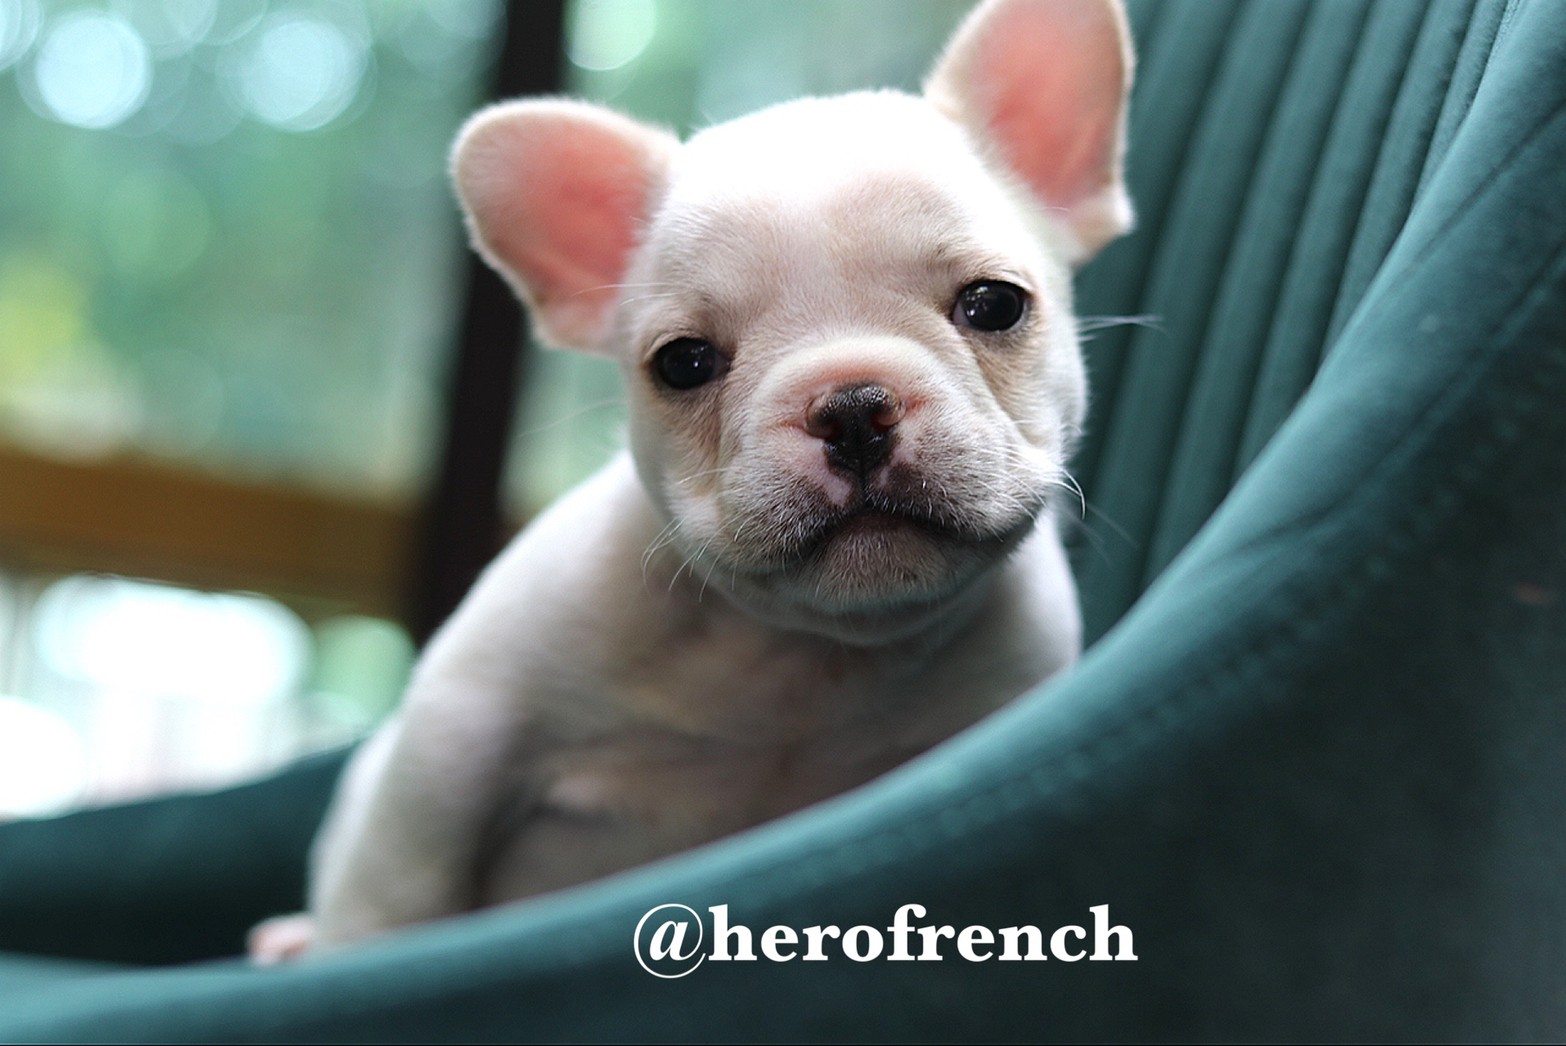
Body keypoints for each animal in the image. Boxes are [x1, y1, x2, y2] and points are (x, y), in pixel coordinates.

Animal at [249, 0, 1133, 961]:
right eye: (684, 363)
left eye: (994, 304)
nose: (853, 406)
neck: (801, 656)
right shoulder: (452, 741)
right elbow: (396, 890)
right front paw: (354, 949)